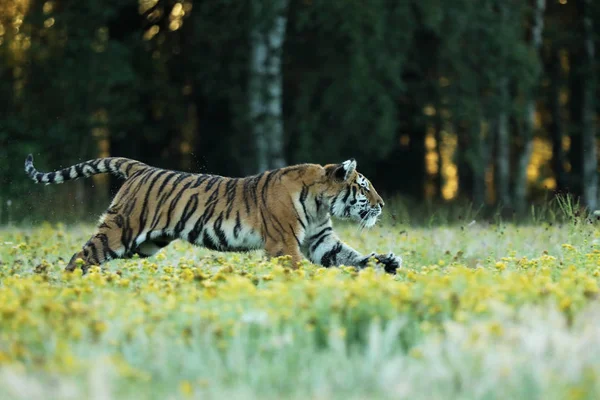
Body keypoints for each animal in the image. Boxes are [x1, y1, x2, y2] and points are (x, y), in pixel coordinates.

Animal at [25, 155, 406, 274]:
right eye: (364, 187)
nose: (383, 204)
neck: (319, 203)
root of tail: (140, 168)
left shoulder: (320, 240)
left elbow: (350, 257)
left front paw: (386, 262)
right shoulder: (283, 245)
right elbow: (300, 270)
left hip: (145, 245)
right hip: (120, 231)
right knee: (81, 255)